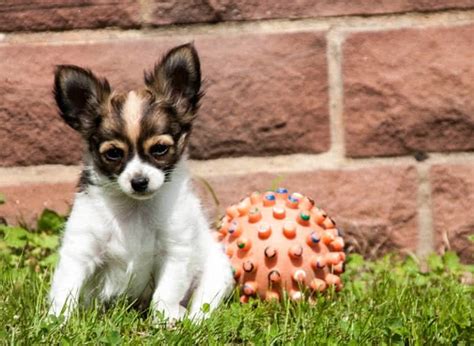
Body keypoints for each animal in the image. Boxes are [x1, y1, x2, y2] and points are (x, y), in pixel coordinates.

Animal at [48, 43, 233, 322]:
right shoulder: (81, 248)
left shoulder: (176, 250)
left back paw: (190, 319)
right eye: (114, 153)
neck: (135, 209)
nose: (139, 181)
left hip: (218, 272)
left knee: (203, 304)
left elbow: (165, 293)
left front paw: (164, 320)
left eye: (159, 149)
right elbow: (66, 288)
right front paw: (56, 321)